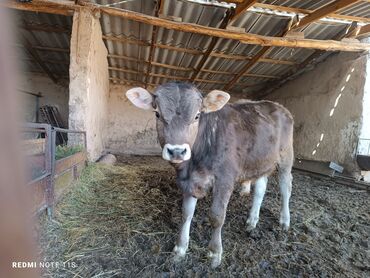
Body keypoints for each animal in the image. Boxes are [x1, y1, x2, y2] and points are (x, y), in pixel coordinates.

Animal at [125, 82, 294, 268]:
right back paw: (252, 221)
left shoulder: (225, 179)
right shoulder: (189, 182)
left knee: (285, 187)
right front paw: (180, 248)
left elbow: (217, 216)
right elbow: (186, 213)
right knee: (260, 189)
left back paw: (285, 220)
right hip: (261, 161)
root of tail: (276, 105)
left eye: (197, 116)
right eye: (157, 114)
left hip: (286, 156)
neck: (193, 164)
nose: (177, 151)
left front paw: (214, 253)